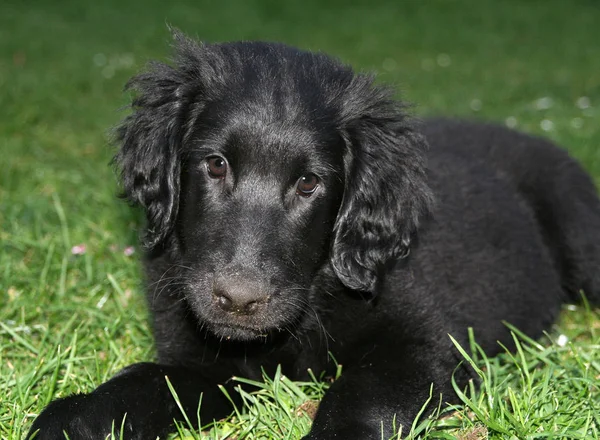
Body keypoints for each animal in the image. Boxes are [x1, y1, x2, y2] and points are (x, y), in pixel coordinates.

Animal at [28, 32, 600, 438]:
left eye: (308, 183)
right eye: (215, 165)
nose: (239, 300)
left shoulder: (423, 346)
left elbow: (358, 396)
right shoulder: (201, 363)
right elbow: (142, 382)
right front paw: (74, 417)